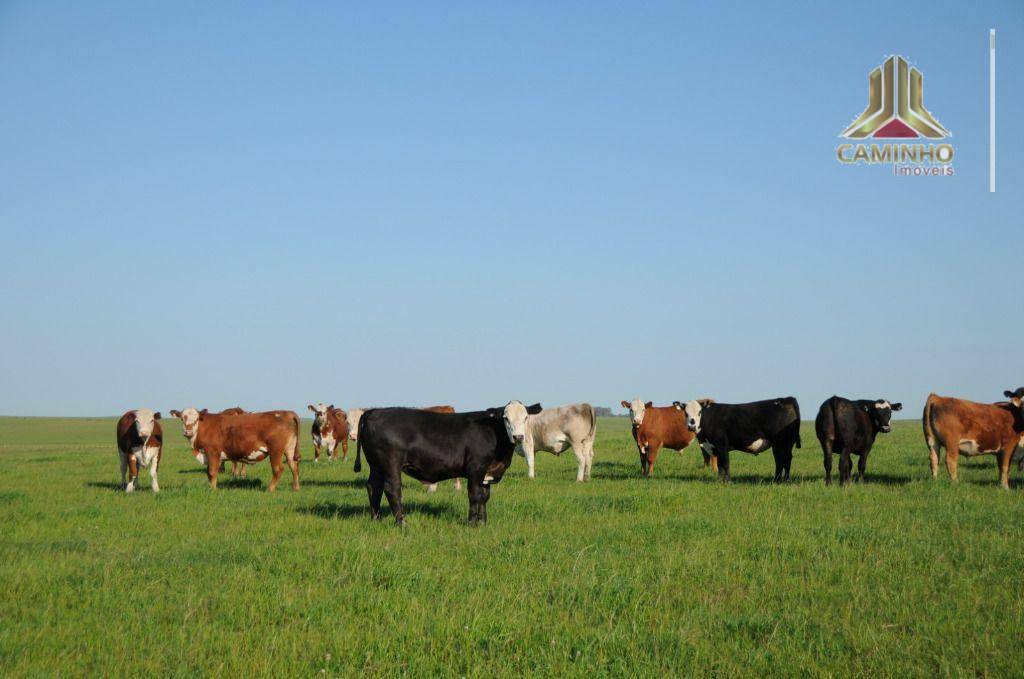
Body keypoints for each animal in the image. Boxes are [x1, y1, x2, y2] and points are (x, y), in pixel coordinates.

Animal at [169, 405, 299, 491]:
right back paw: (295, 488)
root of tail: (287, 412)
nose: (188, 432)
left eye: (196, 419)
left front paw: (213, 489)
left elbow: (212, 472)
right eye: (182, 418)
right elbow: (208, 473)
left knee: (278, 469)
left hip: (275, 451)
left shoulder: (212, 452)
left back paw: (270, 489)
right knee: (293, 466)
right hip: (289, 449)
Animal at [352, 401, 540, 528]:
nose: (518, 437)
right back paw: (402, 523)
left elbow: (485, 496)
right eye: (506, 418)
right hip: (391, 463)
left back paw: (376, 519)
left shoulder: (486, 473)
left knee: (373, 487)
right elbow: (474, 495)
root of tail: (374, 411)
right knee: (392, 489)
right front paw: (472, 523)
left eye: (526, 417)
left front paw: (483, 522)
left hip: (376, 465)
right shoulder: (475, 469)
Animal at [667, 399, 802, 483]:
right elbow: (720, 466)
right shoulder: (715, 447)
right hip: (786, 444)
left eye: (700, 412)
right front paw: (720, 481)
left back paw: (777, 480)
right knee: (786, 460)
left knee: (780, 461)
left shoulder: (722, 445)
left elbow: (725, 463)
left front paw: (728, 481)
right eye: (686, 413)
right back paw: (785, 480)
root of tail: (786, 399)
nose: (692, 425)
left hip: (779, 444)